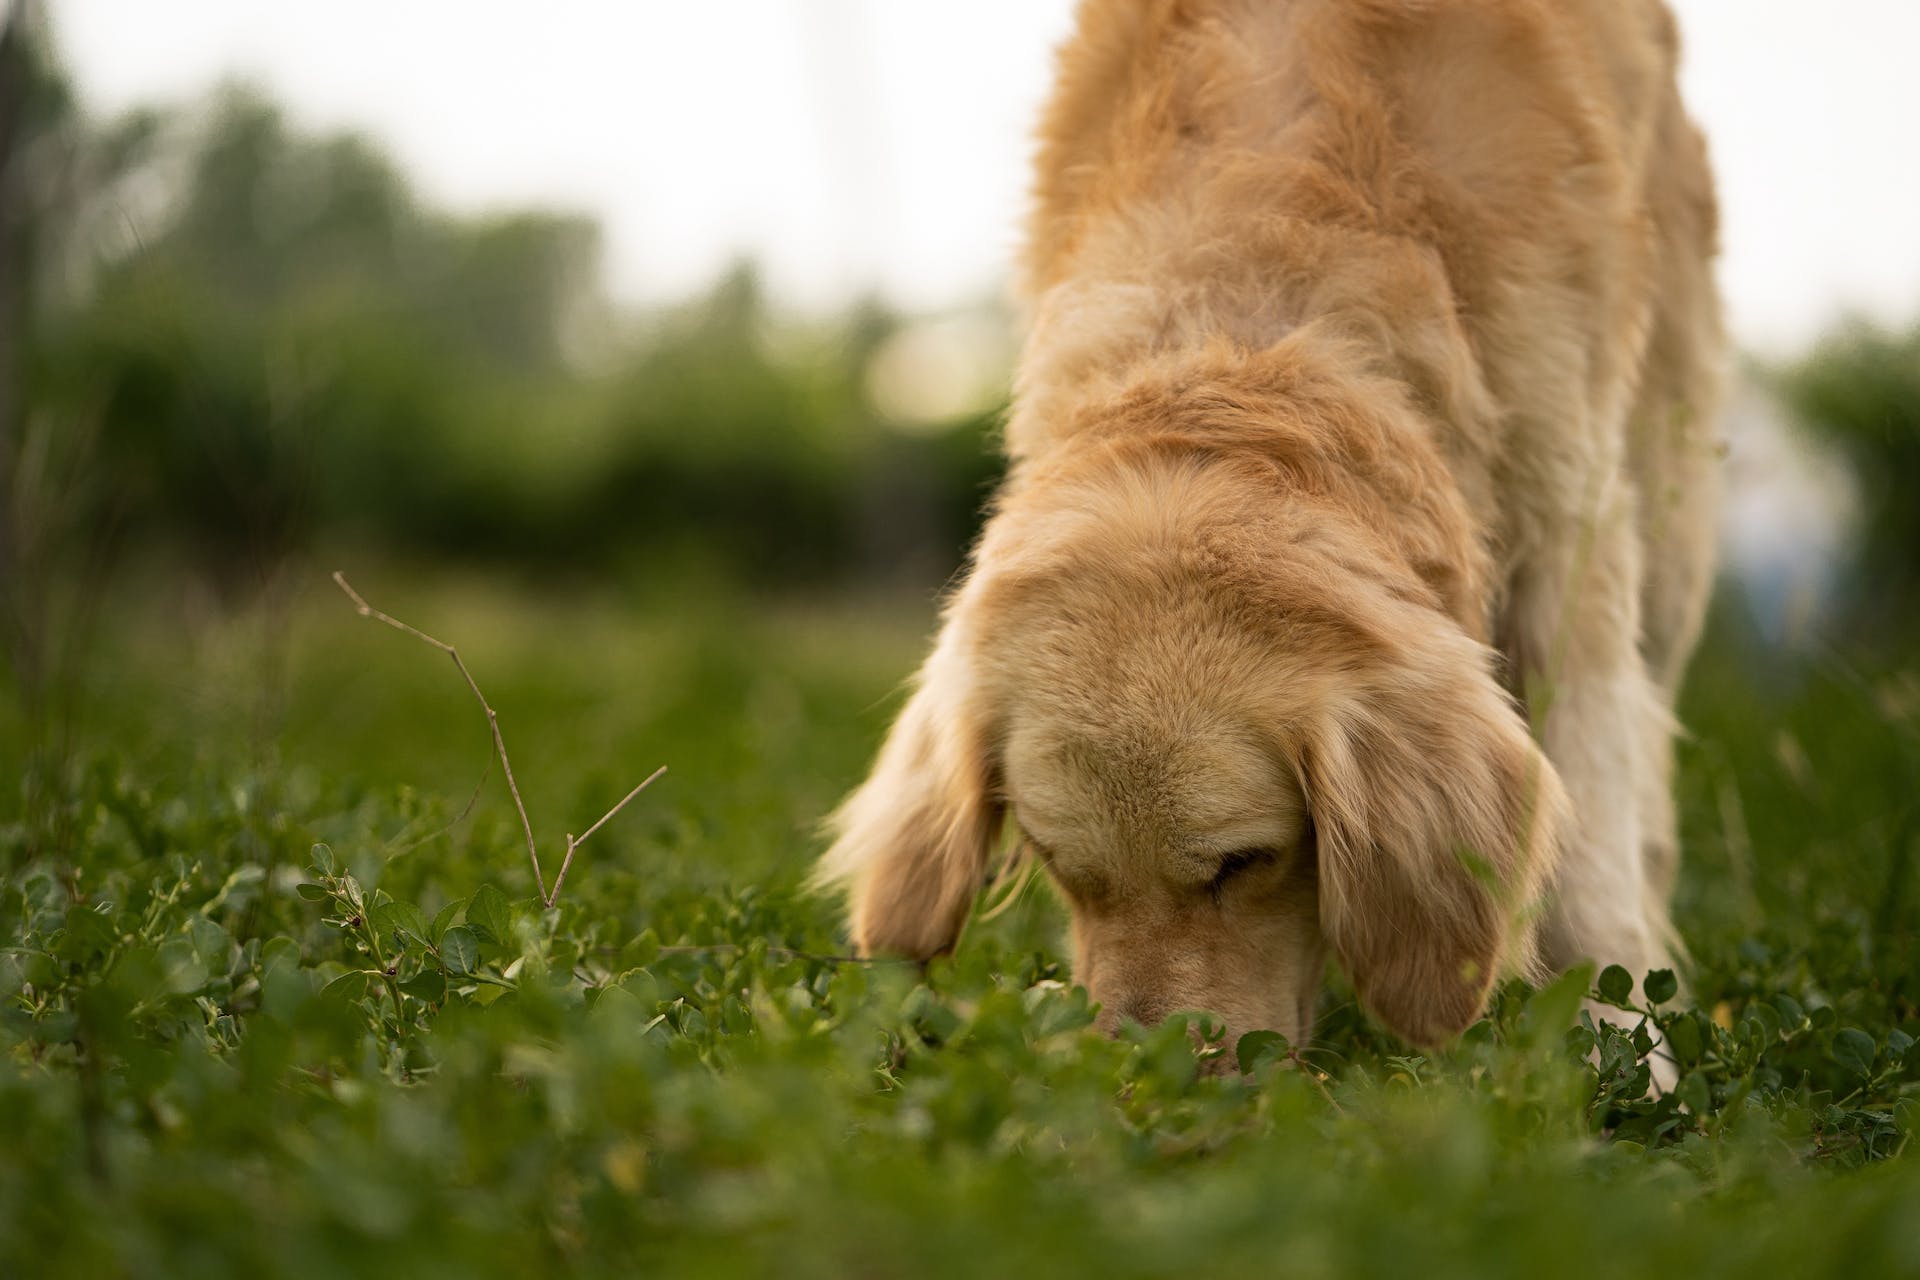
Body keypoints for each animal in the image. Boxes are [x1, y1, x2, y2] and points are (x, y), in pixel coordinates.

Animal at [810, 0, 1728, 1066]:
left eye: (1243, 862)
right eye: (1058, 862)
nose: (1144, 1072)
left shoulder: (1568, 527)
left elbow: (1590, 840)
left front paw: (1620, 1048)